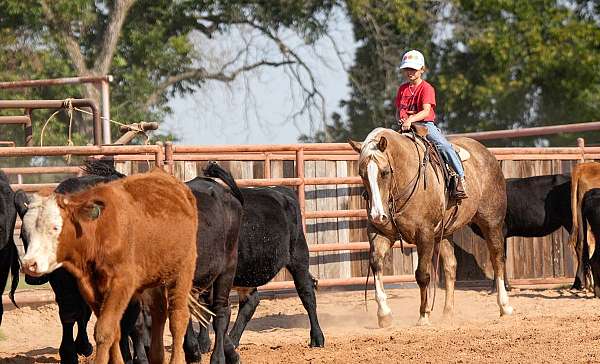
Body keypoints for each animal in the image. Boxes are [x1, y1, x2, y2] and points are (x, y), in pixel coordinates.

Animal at [20, 168, 199, 364]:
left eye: (54, 227)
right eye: (24, 232)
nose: (29, 264)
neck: (98, 232)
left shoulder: (121, 283)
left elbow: (104, 331)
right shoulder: (89, 287)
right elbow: (115, 330)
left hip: (183, 269)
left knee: (178, 318)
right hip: (154, 276)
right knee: (159, 312)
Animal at [350, 128, 512, 328]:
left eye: (385, 172)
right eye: (362, 173)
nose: (377, 215)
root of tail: (486, 153)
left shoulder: (424, 235)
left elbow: (422, 274)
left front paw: (423, 315)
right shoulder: (379, 232)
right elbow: (376, 264)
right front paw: (384, 314)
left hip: (491, 222)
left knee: (497, 259)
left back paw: (504, 307)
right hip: (445, 232)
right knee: (450, 266)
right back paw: (447, 313)